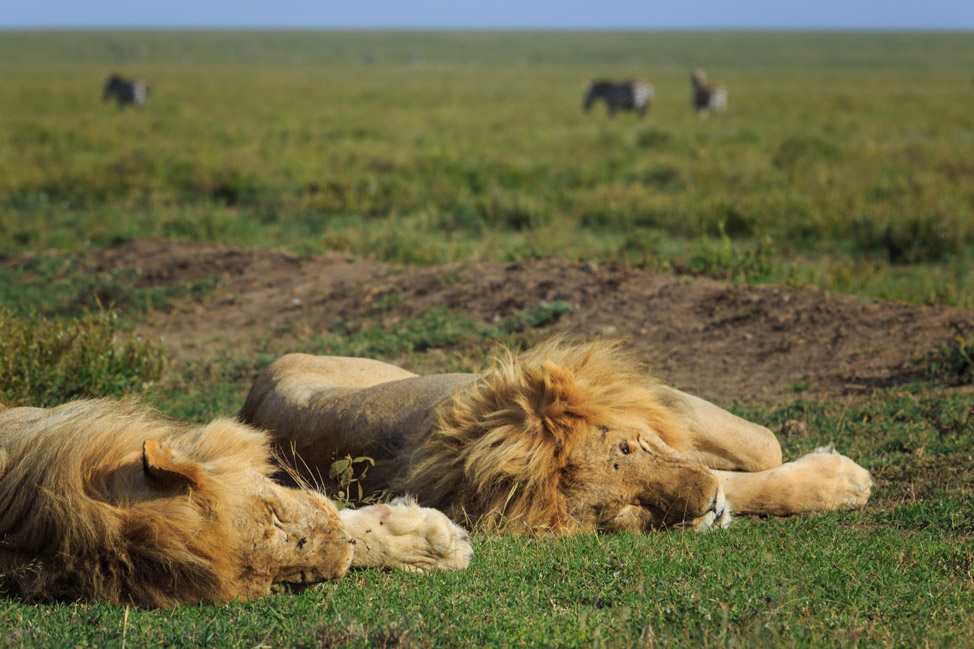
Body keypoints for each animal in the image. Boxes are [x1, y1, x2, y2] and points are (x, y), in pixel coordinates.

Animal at [238, 340, 876, 532]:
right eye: (623, 511)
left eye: (627, 447)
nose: (708, 509)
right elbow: (745, 474)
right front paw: (842, 480)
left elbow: (764, 443)